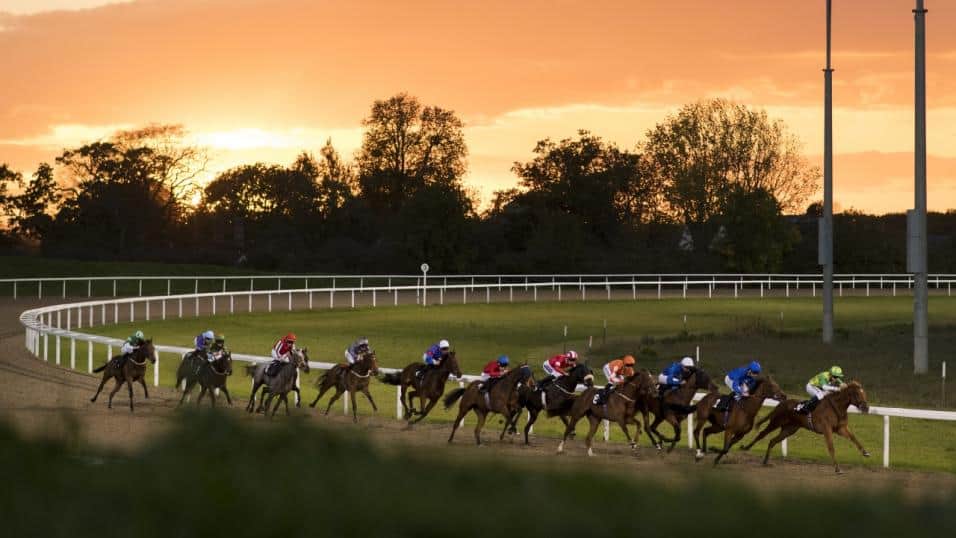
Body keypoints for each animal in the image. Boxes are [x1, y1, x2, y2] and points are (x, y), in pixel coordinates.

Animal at [740, 378, 872, 472]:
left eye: (864, 393)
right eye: (857, 394)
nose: (866, 407)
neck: (836, 407)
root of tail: (781, 403)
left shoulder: (840, 428)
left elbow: (854, 438)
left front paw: (865, 453)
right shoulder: (827, 429)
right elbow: (831, 447)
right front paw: (837, 468)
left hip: (789, 429)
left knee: (773, 441)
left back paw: (765, 461)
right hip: (776, 422)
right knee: (762, 434)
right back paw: (745, 448)